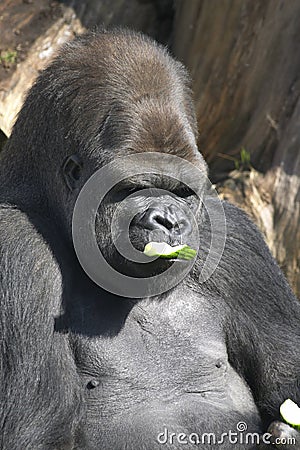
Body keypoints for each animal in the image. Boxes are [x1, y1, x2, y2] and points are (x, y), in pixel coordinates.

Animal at [0, 29, 300, 450]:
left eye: (181, 190)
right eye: (135, 188)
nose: (169, 221)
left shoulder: (240, 245)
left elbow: (287, 384)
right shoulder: (20, 253)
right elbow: (38, 433)